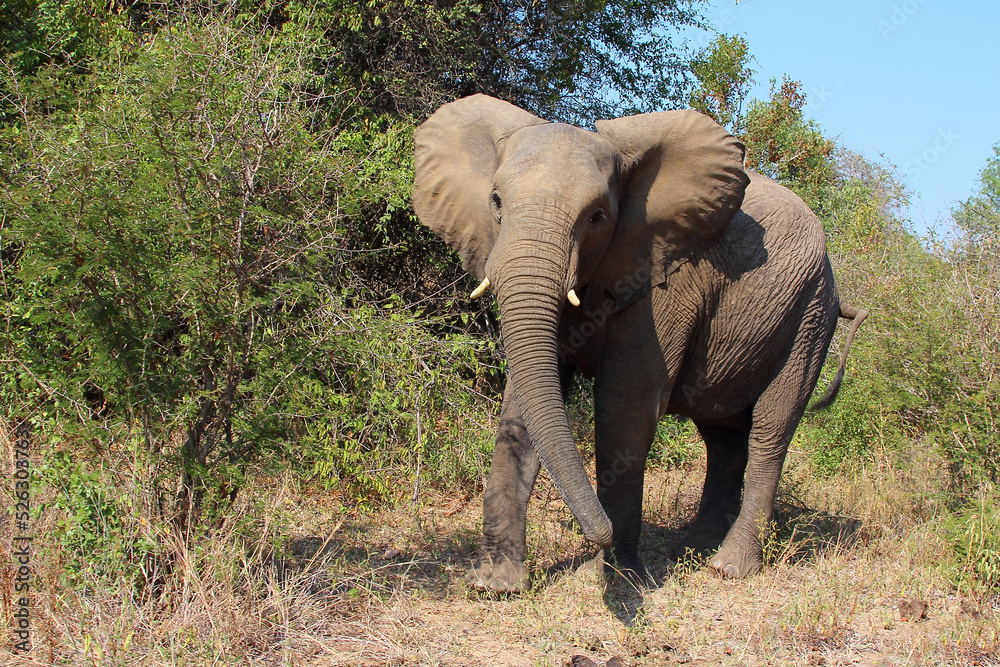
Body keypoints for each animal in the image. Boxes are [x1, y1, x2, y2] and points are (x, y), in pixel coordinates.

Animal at [412, 92, 868, 588]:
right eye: (496, 202)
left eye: (597, 217)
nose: (592, 535)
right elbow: (523, 403)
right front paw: (495, 585)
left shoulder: (663, 280)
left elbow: (624, 405)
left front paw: (620, 578)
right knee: (723, 437)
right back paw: (693, 551)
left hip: (808, 318)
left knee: (771, 431)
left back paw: (728, 567)